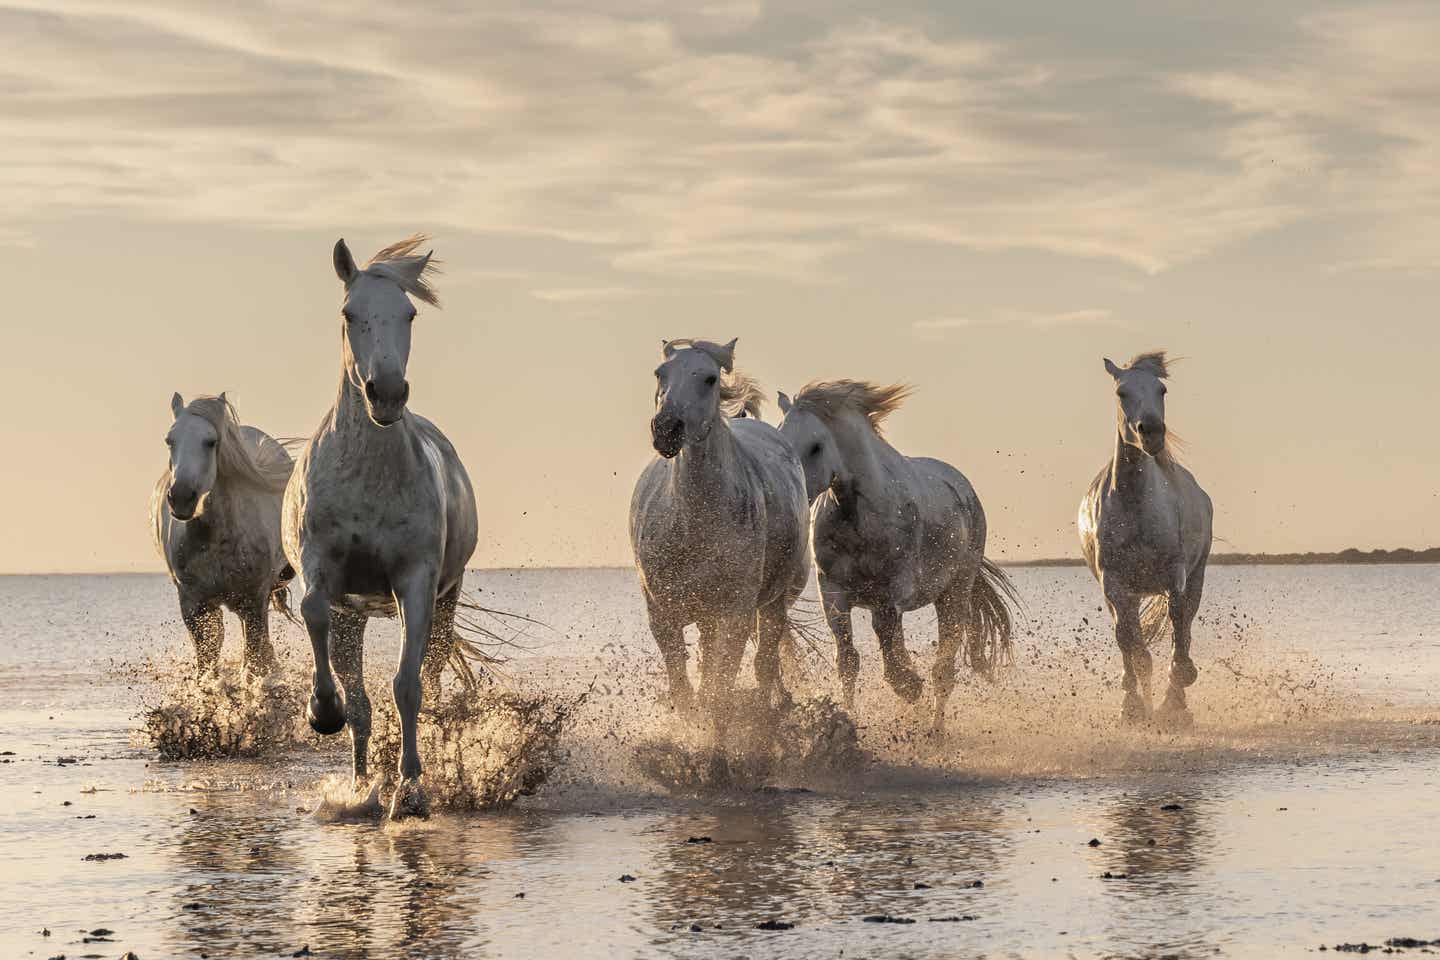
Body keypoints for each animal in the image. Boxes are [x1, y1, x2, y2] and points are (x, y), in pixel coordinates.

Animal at [151, 397, 295, 676]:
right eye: (169, 440)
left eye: (211, 441)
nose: (181, 497)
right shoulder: (194, 604)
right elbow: (208, 653)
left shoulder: (253, 600)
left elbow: (254, 656)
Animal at [280, 234, 478, 817]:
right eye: (350, 313)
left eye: (408, 313)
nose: (386, 393)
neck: (369, 477)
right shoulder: (324, 570)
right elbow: (313, 613)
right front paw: (322, 710)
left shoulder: (416, 582)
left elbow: (408, 686)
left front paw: (409, 790)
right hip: (355, 617)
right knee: (361, 704)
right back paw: (361, 784)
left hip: (446, 599)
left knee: (427, 675)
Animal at [630, 341, 812, 716]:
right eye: (660, 373)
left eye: (710, 378)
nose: (666, 429)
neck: (693, 523)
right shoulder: (663, 615)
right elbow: (685, 689)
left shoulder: (736, 615)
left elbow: (721, 687)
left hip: (771, 604)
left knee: (765, 663)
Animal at [777, 379, 1025, 728]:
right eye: (780, 435)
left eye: (815, 446)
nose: (791, 489)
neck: (858, 517)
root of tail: (966, 490)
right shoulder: (834, 594)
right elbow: (849, 662)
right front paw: (850, 716)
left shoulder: (891, 595)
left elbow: (892, 655)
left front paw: (910, 687)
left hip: (954, 593)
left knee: (943, 669)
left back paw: (935, 730)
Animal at [1082, 352, 1215, 728]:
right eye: (1121, 392)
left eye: (1162, 390)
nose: (1152, 432)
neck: (1135, 503)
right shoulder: (1115, 585)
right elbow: (1132, 646)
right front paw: (1133, 708)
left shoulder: (1175, 577)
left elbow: (1179, 631)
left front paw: (1175, 702)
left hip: (1196, 575)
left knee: (1184, 625)